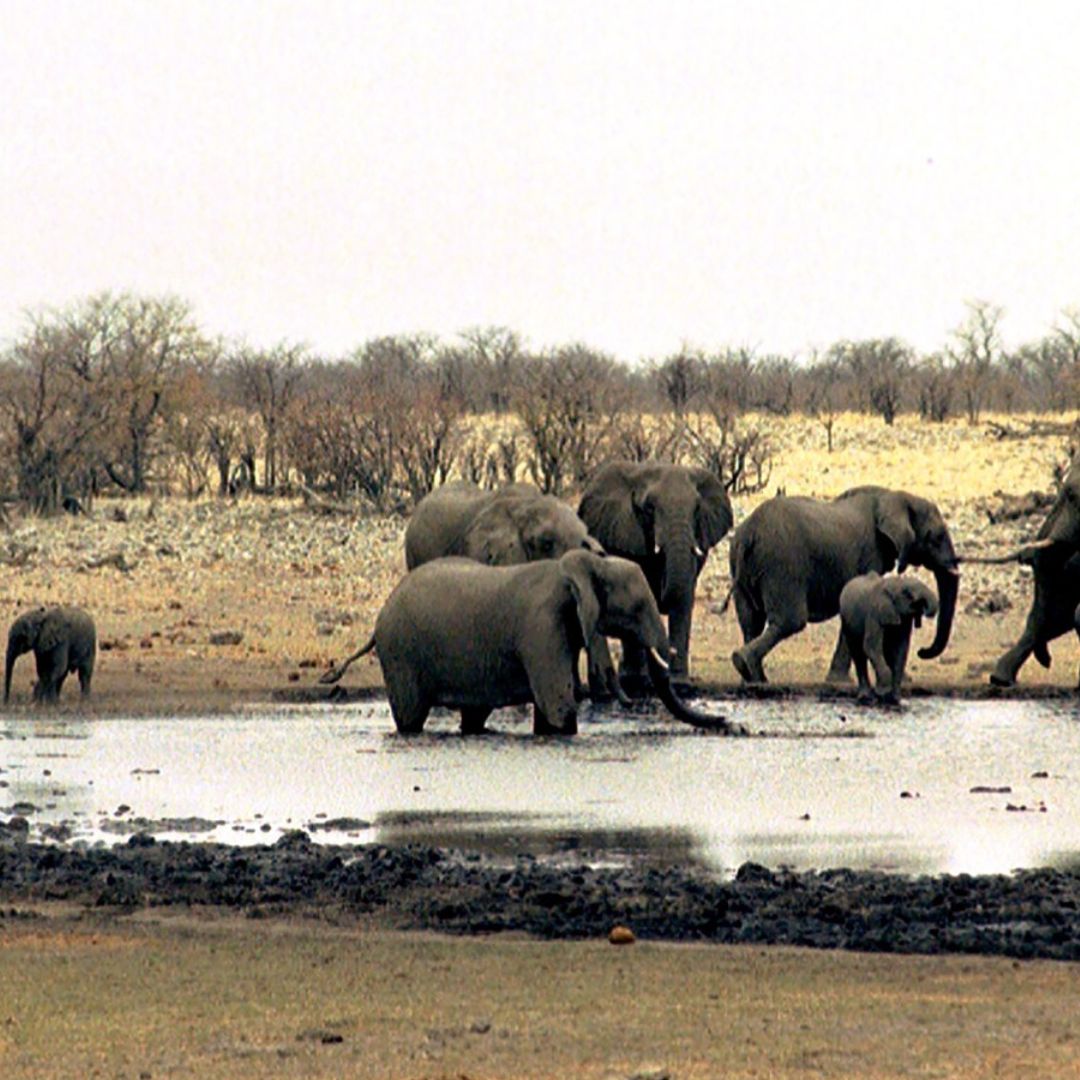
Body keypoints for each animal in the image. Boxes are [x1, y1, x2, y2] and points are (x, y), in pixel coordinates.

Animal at [320, 550, 735, 736]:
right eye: (636, 608)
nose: (728, 723)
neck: (582, 567)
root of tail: (380, 616)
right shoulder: (543, 627)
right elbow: (559, 707)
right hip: (400, 655)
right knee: (410, 718)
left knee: (474, 716)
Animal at [577, 461, 733, 691]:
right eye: (649, 508)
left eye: (697, 508)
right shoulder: (625, 532)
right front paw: (637, 683)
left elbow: (684, 597)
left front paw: (680, 684)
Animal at [728, 486, 959, 684]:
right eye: (937, 537)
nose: (922, 651)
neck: (893, 495)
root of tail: (749, 533)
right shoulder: (870, 553)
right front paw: (840, 681)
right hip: (782, 565)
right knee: (789, 621)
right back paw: (745, 666)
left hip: (743, 565)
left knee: (751, 622)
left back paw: (753, 678)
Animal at [838, 572, 938, 704]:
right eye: (907, 593)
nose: (923, 608)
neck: (895, 582)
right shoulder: (875, 610)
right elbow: (871, 646)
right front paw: (882, 693)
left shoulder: (904, 618)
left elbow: (900, 649)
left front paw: (894, 699)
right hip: (847, 622)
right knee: (858, 654)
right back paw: (866, 698)